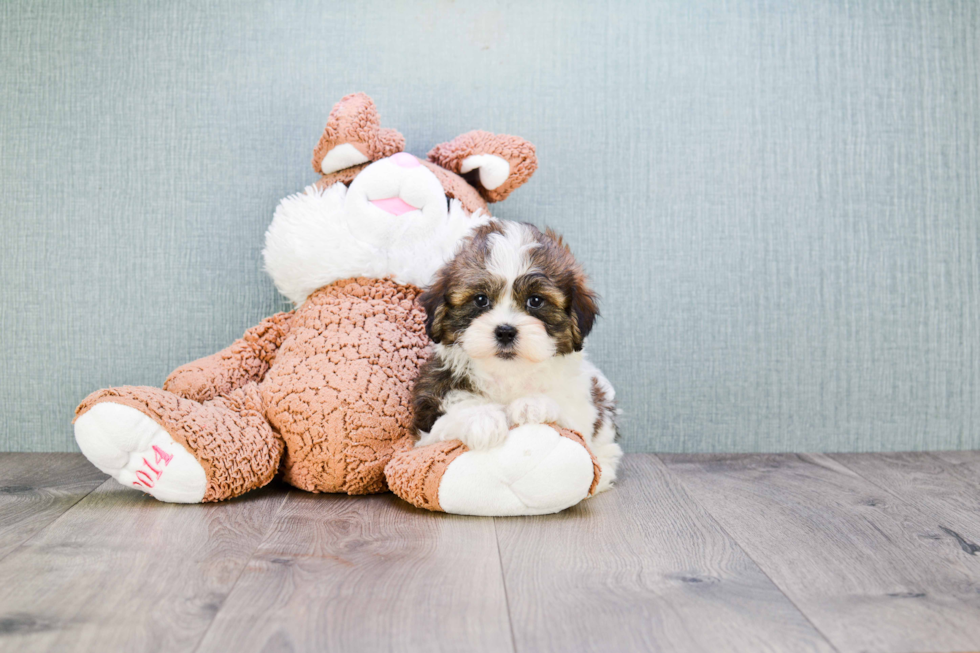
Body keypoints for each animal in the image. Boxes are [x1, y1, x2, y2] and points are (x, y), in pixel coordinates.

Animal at [412, 222, 620, 492]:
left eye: (535, 301)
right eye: (481, 299)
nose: (505, 331)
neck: (508, 374)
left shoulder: (581, 406)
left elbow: (568, 414)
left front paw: (533, 404)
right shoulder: (425, 425)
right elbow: (452, 412)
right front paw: (482, 419)